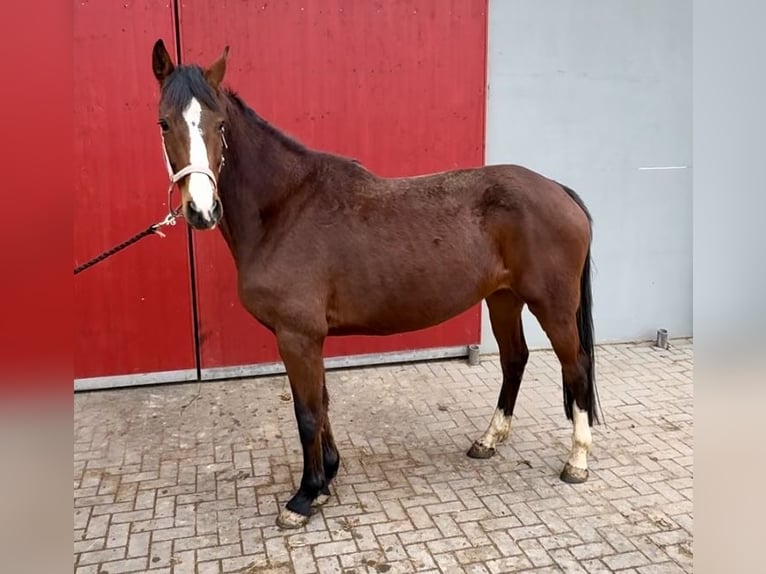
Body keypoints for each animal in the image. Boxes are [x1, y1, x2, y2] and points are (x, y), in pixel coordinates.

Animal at [153, 41, 604, 532]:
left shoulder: (297, 336)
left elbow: (307, 413)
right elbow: (322, 403)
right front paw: (327, 477)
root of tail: (557, 189)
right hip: (503, 299)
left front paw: (305, 495)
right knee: (515, 360)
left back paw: (577, 461)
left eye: (219, 125)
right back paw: (488, 440)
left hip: (552, 306)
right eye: (164, 123)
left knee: (576, 366)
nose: (201, 209)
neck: (285, 208)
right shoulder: (307, 339)